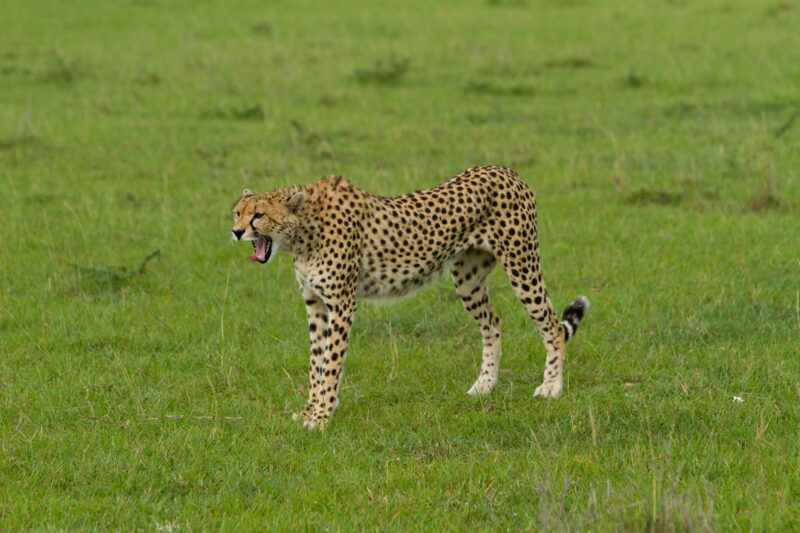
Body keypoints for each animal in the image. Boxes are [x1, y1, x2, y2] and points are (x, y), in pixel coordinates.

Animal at [231, 165, 589, 429]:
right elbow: (315, 363)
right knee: (493, 322)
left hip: (521, 265)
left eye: (258, 215)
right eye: (236, 213)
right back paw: (484, 385)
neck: (303, 232)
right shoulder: (315, 305)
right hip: (468, 279)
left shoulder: (342, 305)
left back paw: (551, 387)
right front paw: (308, 411)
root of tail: (506, 169)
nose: (236, 232)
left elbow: (330, 364)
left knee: (552, 326)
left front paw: (321, 417)